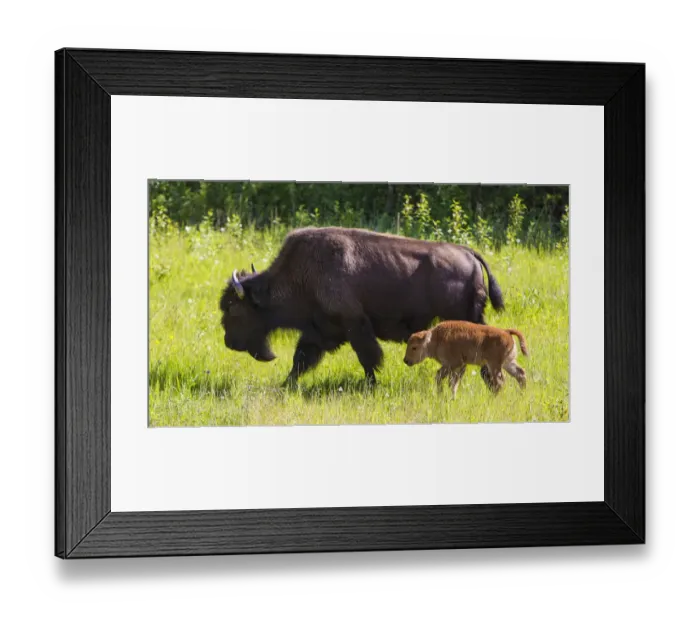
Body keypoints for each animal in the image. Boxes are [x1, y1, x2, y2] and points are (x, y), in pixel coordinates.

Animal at [219, 226, 504, 387]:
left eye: (233, 308)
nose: (228, 342)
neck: (301, 275)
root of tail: (468, 253)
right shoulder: (318, 331)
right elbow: (300, 360)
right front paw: (285, 385)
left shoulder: (355, 326)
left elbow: (367, 357)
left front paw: (371, 385)